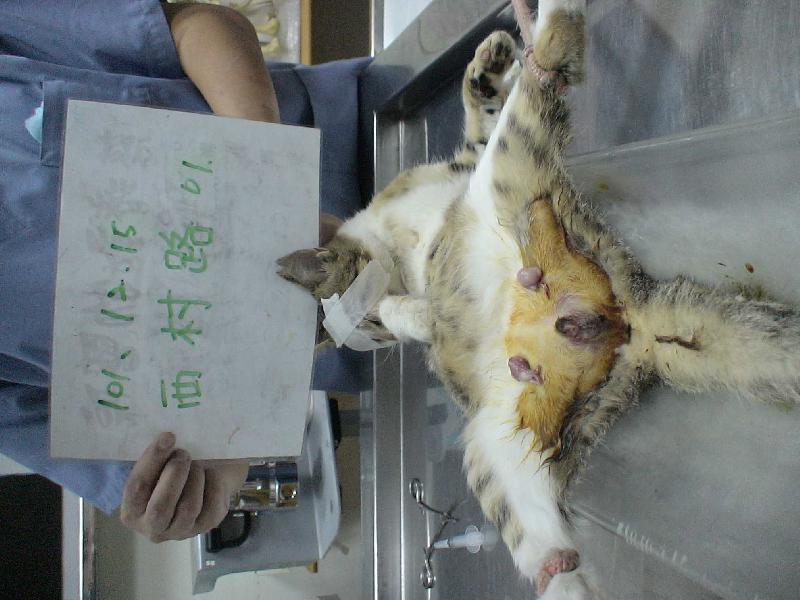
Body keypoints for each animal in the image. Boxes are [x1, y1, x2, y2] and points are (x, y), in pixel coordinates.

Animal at [278, 0, 800, 596]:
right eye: (363, 328)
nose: (372, 322)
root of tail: (631, 326)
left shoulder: (463, 162)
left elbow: (476, 112)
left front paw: (489, 62)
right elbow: (409, 311)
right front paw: (415, 312)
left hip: (504, 180)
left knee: (545, 75)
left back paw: (533, 30)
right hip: (494, 448)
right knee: (551, 553)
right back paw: (563, 574)